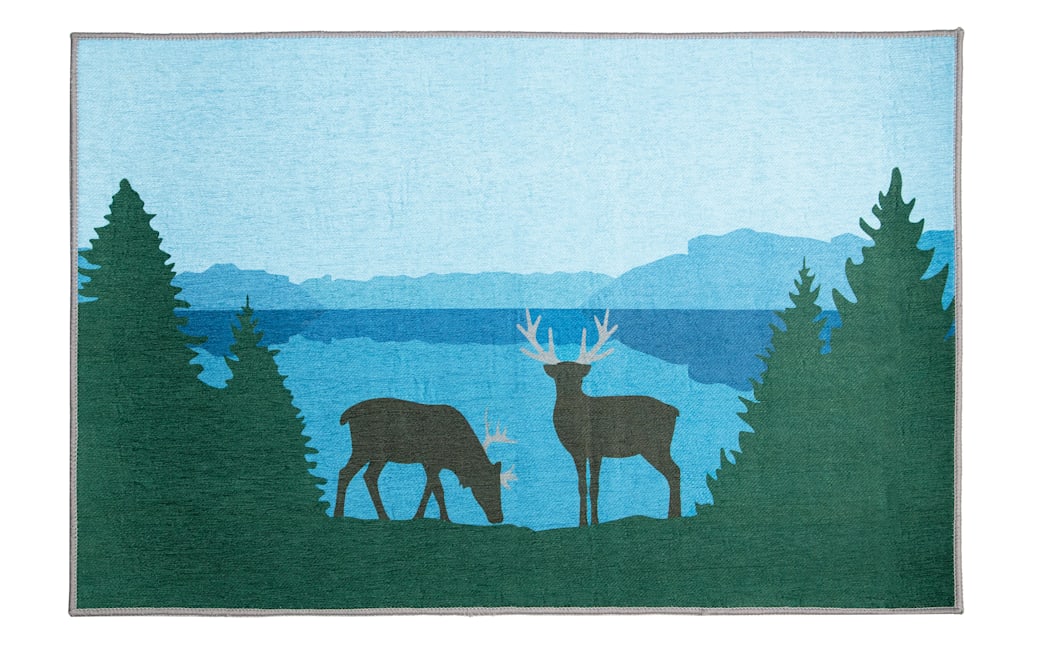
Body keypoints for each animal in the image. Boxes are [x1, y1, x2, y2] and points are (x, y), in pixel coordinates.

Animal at [334, 398, 516, 524]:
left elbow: (432, 489)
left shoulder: (432, 463)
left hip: (372, 454)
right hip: (371, 450)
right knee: (357, 474)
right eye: (488, 487)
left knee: (355, 473)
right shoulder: (431, 460)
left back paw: (342, 514)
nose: (498, 518)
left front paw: (425, 517)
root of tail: (346, 417)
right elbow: (437, 489)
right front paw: (439, 518)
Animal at [517, 309, 681, 526]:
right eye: (559, 378)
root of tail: (674, 411)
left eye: (580, 379)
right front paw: (581, 523)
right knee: (673, 472)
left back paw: (674, 516)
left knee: (674, 471)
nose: (570, 394)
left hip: (655, 444)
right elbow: (581, 486)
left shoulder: (596, 448)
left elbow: (595, 486)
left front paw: (594, 522)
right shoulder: (577, 453)